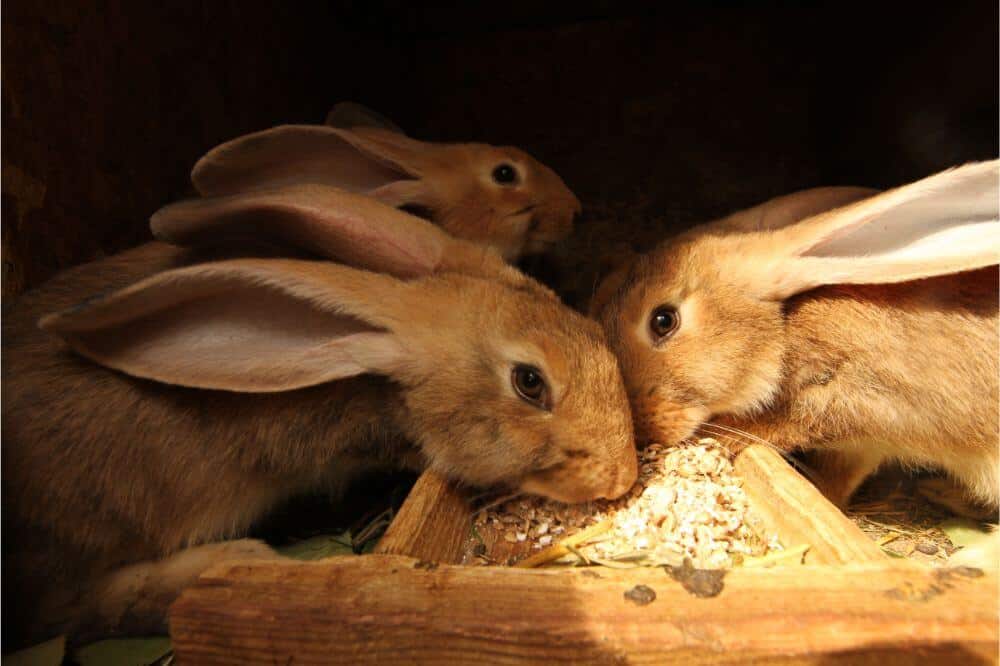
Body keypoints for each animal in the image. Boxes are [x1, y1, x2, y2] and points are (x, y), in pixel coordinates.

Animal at [593, 161, 998, 524]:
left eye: (663, 321)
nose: (639, 430)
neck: (787, 323)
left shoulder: (873, 405)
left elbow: (795, 429)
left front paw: (724, 436)